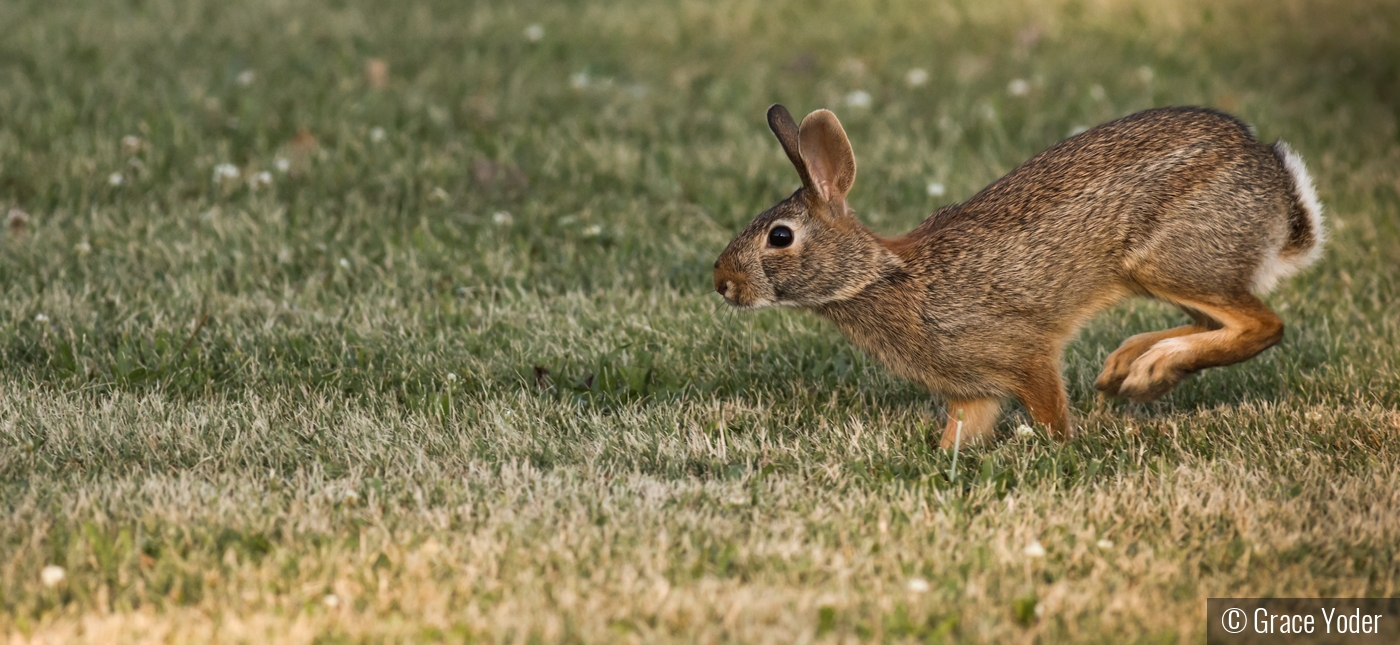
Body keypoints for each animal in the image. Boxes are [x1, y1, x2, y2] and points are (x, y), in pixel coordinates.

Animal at [716, 105, 1327, 447]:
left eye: (779, 237)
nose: (721, 282)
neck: (883, 277)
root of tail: (1278, 185)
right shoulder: (974, 391)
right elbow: (963, 430)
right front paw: (944, 454)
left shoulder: (1024, 353)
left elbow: (1050, 412)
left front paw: (1061, 449)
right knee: (1215, 323)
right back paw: (1132, 369)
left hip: (1169, 260)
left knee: (1262, 326)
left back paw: (1150, 369)